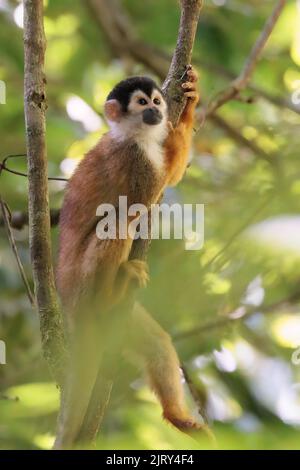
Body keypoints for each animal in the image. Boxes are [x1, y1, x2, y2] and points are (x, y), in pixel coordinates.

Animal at [55, 67, 202, 448]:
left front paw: (190, 102)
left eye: (156, 101)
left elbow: (169, 180)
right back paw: (113, 290)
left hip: (121, 323)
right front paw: (176, 133)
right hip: (84, 285)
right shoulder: (133, 158)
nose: (156, 112)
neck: (135, 136)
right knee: (116, 220)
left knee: (156, 344)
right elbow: (148, 197)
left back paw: (177, 416)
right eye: (141, 103)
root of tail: (71, 308)